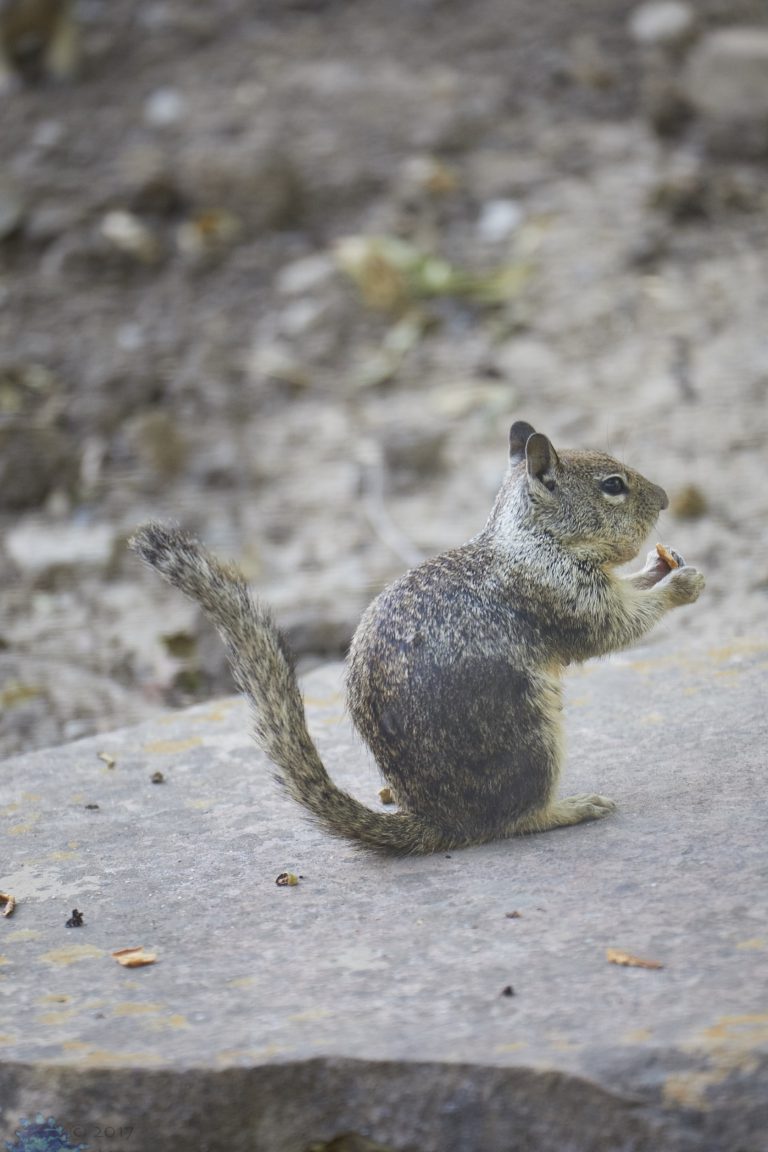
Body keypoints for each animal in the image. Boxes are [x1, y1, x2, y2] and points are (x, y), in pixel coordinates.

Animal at [130, 421, 705, 856]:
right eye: (613, 485)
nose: (666, 499)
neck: (530, 540)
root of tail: (437, 821)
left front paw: (661, 567)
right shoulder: (559, 596)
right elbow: (612, 626)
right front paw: (681, 584)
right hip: (533, 743)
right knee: (512, 822)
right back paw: (573, 808)